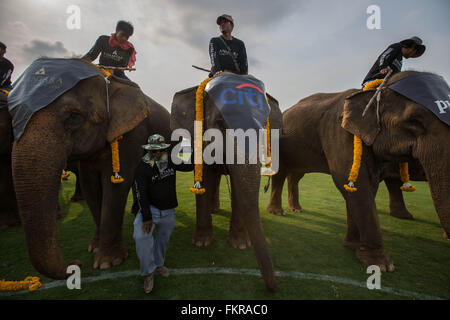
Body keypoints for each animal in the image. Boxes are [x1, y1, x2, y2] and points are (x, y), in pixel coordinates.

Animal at [268, 71, 446, 272]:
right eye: (414, 121)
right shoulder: (338, 133)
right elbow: (355, 183)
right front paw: (381, 265)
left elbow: (366, 186)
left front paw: (353, 246)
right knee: (281, 173)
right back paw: (278, 213)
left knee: (294, 176)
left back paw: (296, 209)